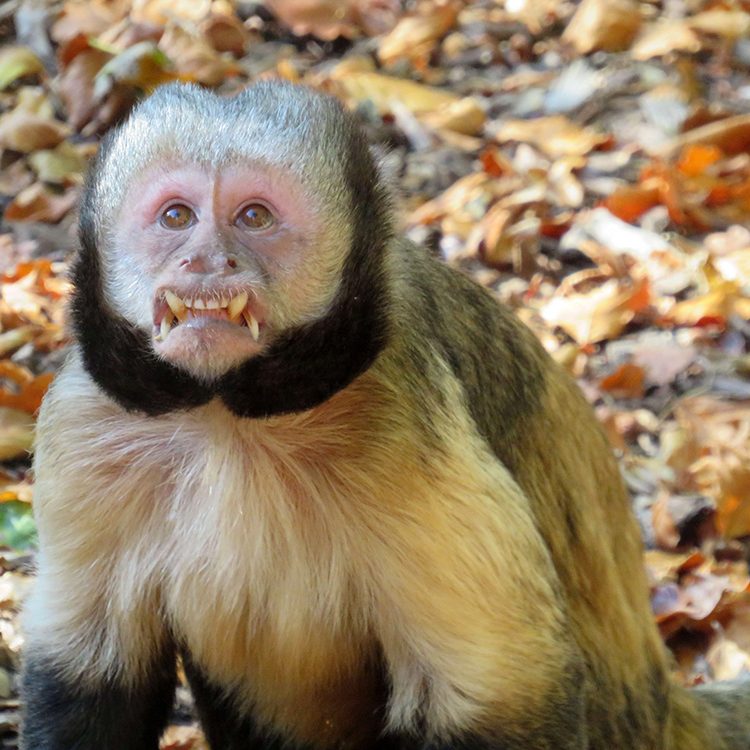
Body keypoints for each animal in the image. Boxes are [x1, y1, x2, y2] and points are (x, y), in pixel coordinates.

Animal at [20, 82, 750, 750]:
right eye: (177, 216)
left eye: (253, 216)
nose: (204, 260)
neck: (227, 417)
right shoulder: (84, 421)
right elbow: (89, 674)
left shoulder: (404, 414)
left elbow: (501, 699)